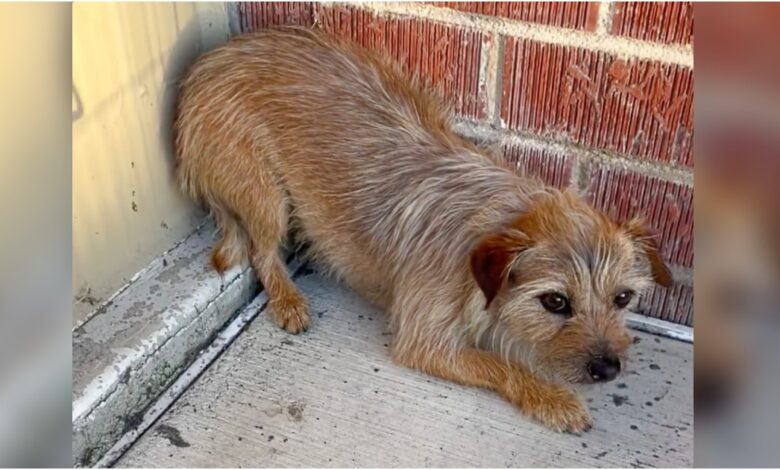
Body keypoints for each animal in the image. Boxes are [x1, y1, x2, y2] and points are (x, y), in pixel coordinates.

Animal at [175, 27, 672, 434]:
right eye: (555, 301)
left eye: (623, 298)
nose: (608, 369)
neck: (501, 216)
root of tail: (211, 57)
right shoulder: (424, 341)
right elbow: (501, 365)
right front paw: (551, 397)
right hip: (265, 197)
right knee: (262, 251)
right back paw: (288, 299)